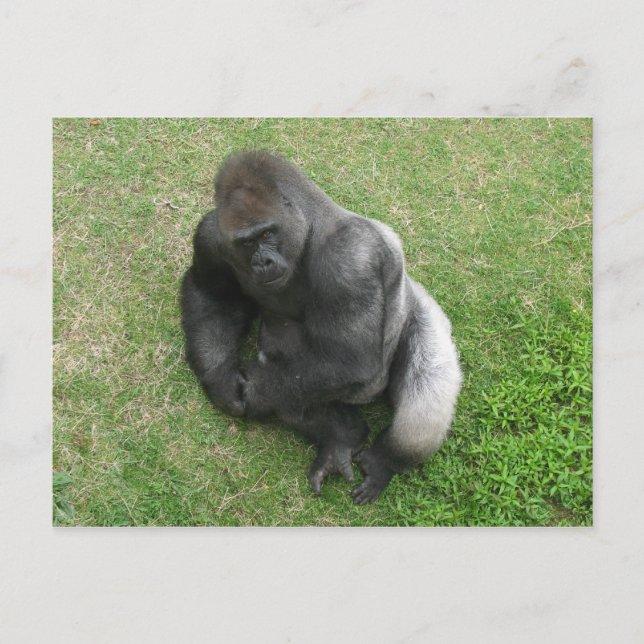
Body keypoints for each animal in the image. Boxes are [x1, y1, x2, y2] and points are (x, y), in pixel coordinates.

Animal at [180, 151, 462, 504]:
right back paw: (341, 438)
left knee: (425, 398)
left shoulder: (350, 259)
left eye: (267, 234)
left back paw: (386, 460)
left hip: (421, 313)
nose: (262, 263)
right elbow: (212, 297)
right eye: (246, 243)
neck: (308, 228)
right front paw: (221, 379)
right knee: (291, 379)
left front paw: (251, 389)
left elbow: (351, 362)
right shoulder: (211, 236)